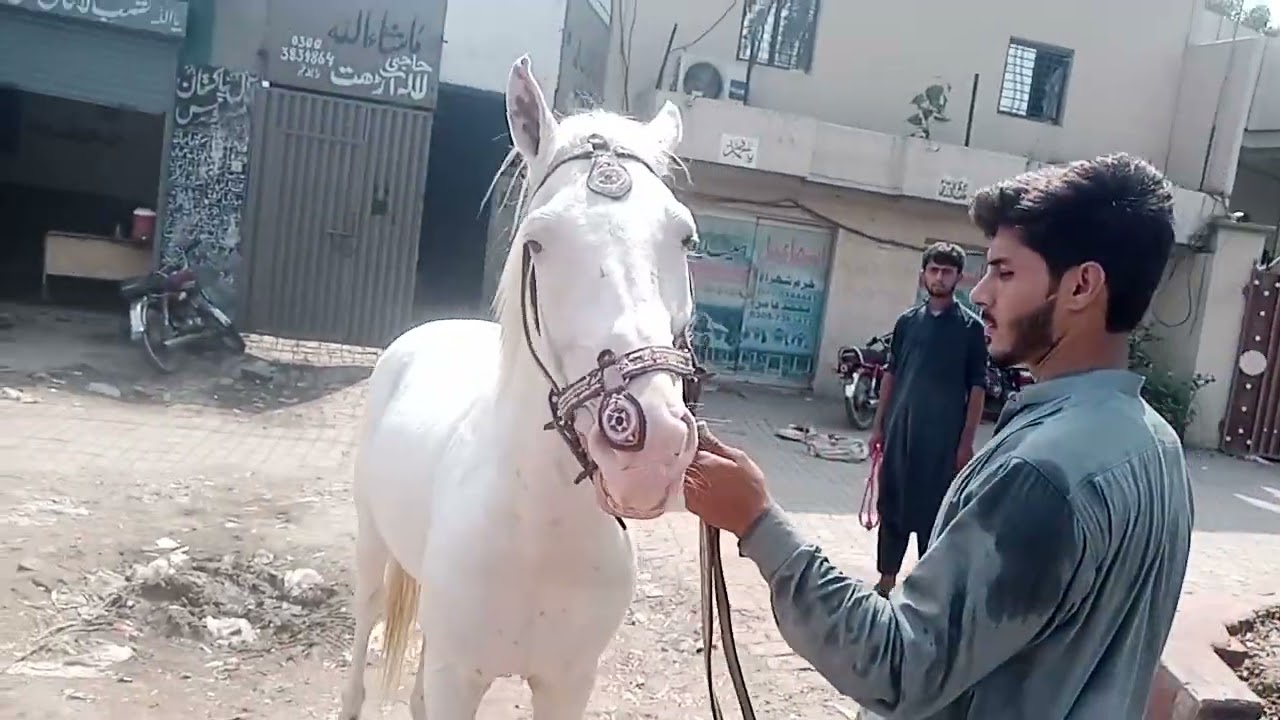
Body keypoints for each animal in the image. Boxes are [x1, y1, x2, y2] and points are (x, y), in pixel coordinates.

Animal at [340, 54, 702, 720]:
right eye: (537, 241)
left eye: (685, 238)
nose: (649, 443)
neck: (539, 527)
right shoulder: (460, 677)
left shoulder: (567, 682)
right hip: (373, 550)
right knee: (363, 638)